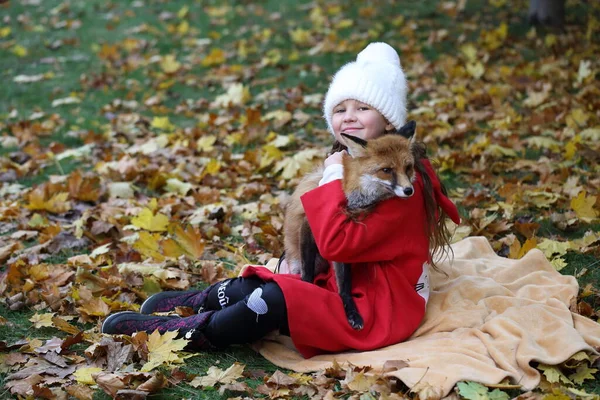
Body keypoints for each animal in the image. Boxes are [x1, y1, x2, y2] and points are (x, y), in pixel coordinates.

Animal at [284, 119, 420, 332]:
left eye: (408, 167)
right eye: (387, 170)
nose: (409, 190)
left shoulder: (340, 244)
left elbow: (345, 285)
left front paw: (351, 312)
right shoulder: (309, 227)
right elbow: (307, 273)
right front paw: (307, 289)